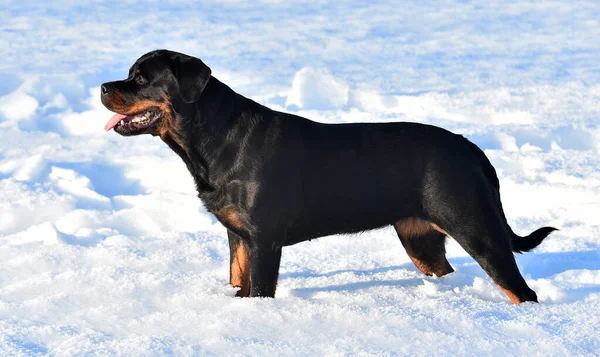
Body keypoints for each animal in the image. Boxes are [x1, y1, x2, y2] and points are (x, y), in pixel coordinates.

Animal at [101, 48, 556, 302]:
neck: (213, 138)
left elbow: (258, 289)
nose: (103, 87)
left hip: (476, 229)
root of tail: (472, 150)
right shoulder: (238, 235)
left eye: (141, 78)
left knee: (521, 291)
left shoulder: (264, 240)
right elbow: (237, 280)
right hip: (420, 240)